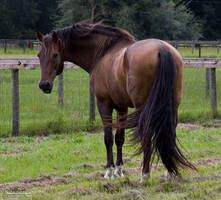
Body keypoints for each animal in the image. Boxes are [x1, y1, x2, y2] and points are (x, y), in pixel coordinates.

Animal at [36, 23, 195, 181]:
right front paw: (119, 170)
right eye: (39, 55)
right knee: (168, 131)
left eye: (55, 55)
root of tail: (162, 49)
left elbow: (108, 138)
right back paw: (169, 172)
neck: (102, 53)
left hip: (144, 107)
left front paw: (109, 171)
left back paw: (145, 175)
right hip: (172, 106)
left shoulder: (103, 105)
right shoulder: (121, 107)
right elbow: (119, 138)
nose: (44, 85)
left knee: (147, 133)